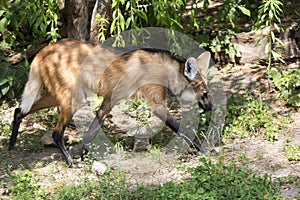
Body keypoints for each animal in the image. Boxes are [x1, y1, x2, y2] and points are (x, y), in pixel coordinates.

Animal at [8, 38, 211, 166]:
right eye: (205, 93)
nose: (211, 107)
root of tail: (44, 50)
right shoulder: (158, 106)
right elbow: (184, 130)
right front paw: (203, 148)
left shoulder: (109, 101)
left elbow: (92, 131)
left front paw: (85, 154)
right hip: (73, 98)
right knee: (56, 133)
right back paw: (69, 161)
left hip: (58, 95)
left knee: (20, 109)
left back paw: (11, 142)